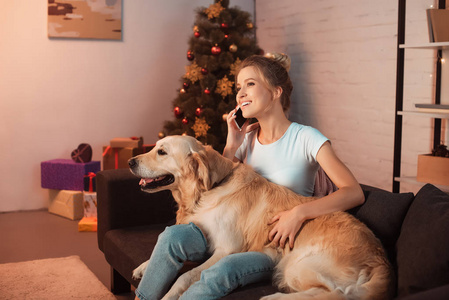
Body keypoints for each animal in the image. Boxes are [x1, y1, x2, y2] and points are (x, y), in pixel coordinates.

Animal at [129, 137, 392, 300]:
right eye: (155, 147)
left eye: (161, 152)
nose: (131, 161)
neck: (209, 188)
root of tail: (381, 259)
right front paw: (143, 266)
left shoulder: (227, 248)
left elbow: (187, 275)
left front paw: (170, 293)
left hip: (295, 266)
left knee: (336, 293)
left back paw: (274, 297)